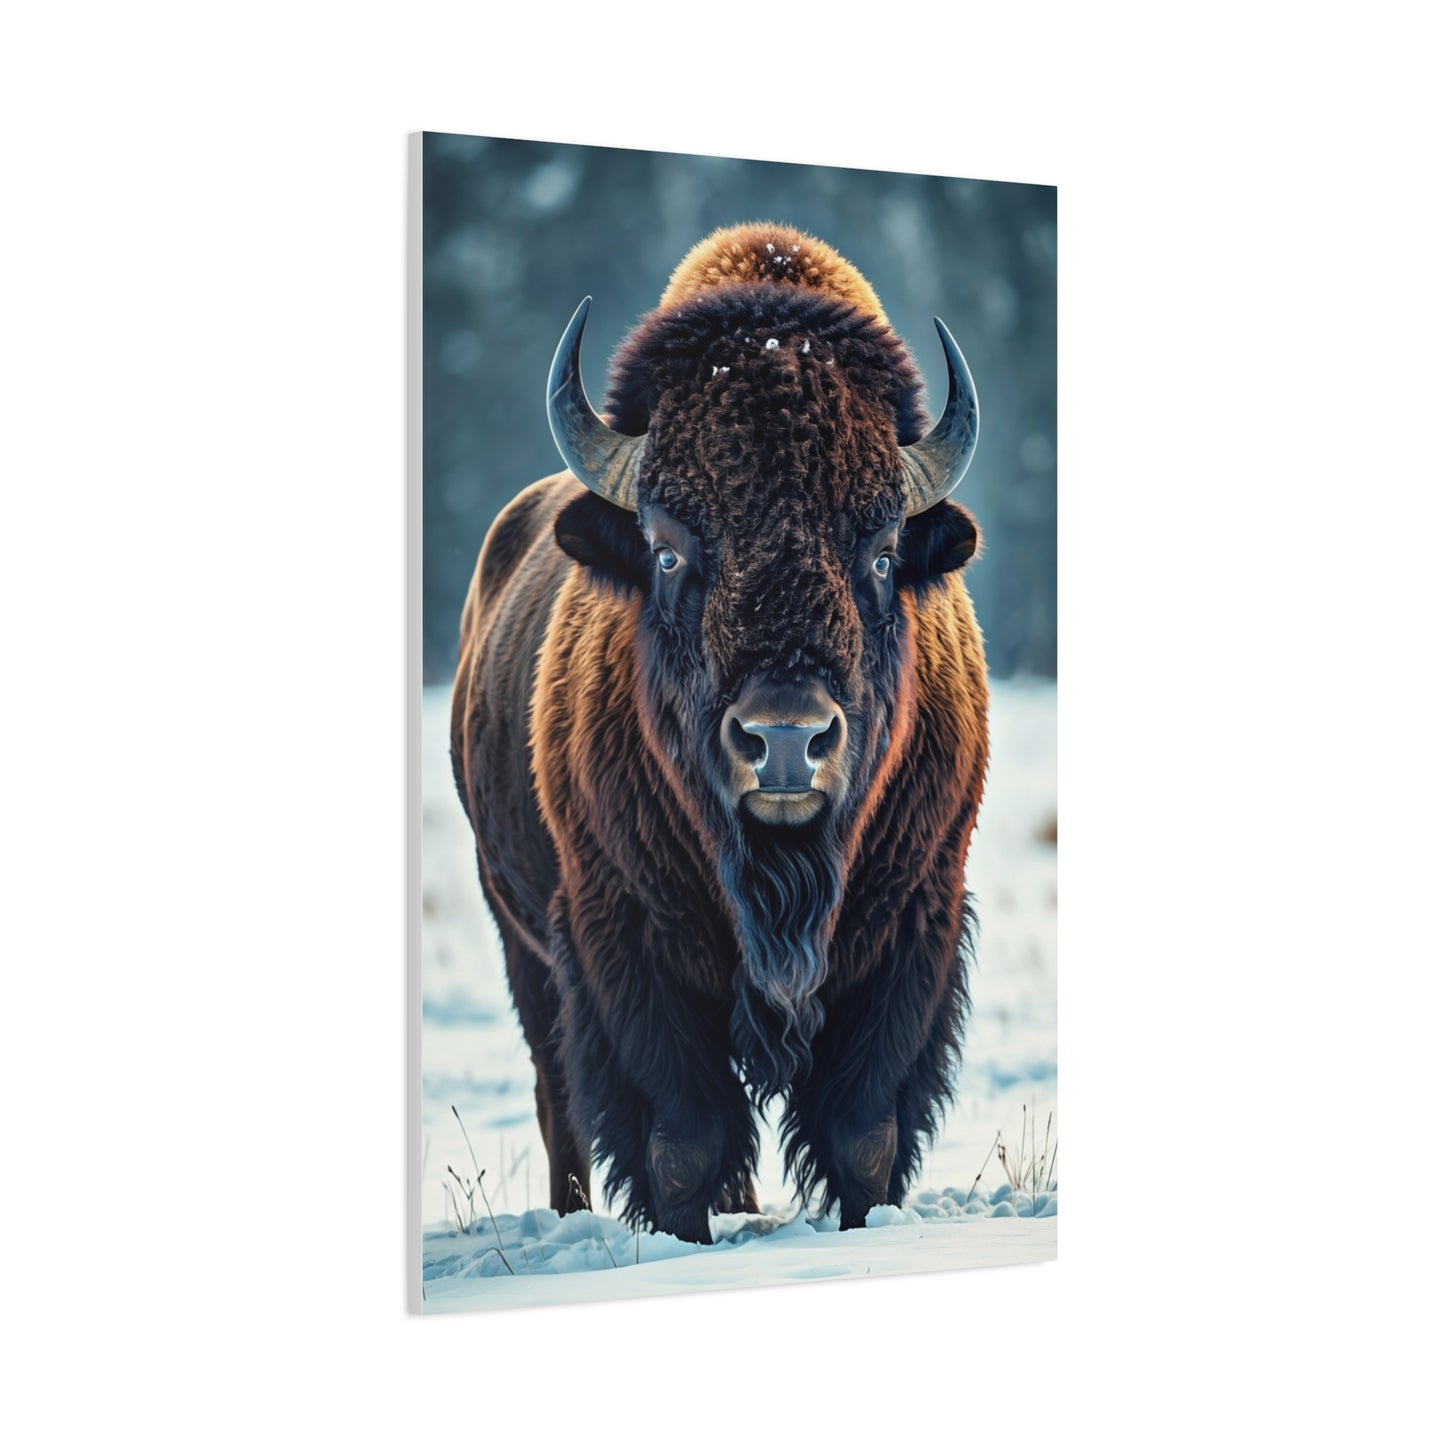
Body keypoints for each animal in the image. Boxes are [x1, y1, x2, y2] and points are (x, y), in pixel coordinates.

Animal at [451, 224, 988, 1243]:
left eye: (882, 550)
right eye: (667, 549)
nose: (784, 740)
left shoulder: (912, 924)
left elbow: (862, 1132)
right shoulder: (621, 935)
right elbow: (681, 1139)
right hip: (517, 933)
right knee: (556, 1090)